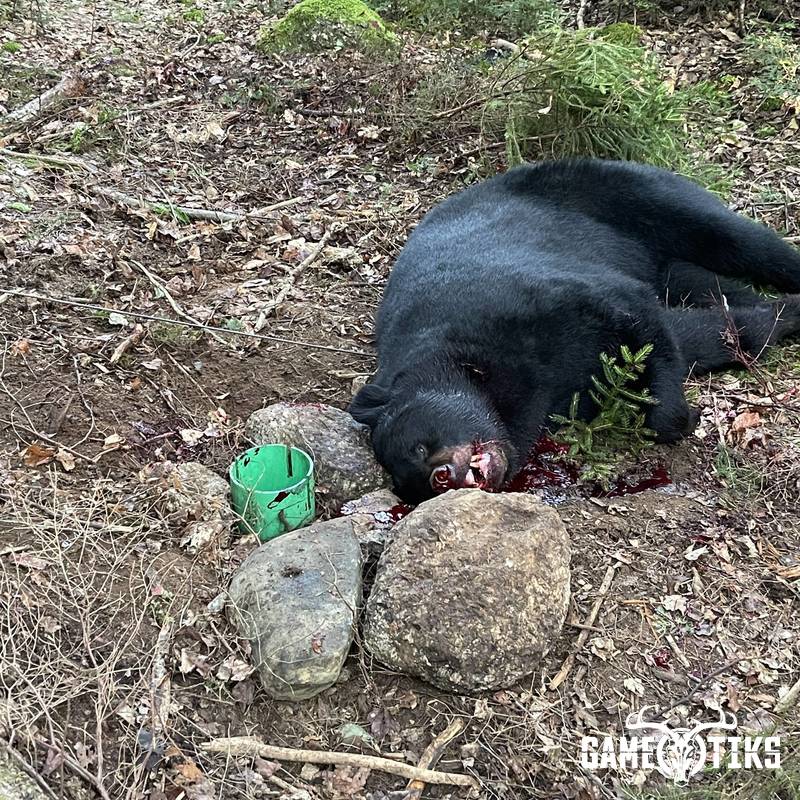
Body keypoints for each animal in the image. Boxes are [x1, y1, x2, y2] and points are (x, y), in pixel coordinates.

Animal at [349, 159, 800, 503]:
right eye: (416, 485)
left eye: (419, 444)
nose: (442, 476)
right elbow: (697, 334)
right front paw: (776, 319)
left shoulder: (523, 301)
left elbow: (637, 315)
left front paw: (682, 414)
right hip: (668, 264)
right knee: (712, 285)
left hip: (628, 198)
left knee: (738, 240)